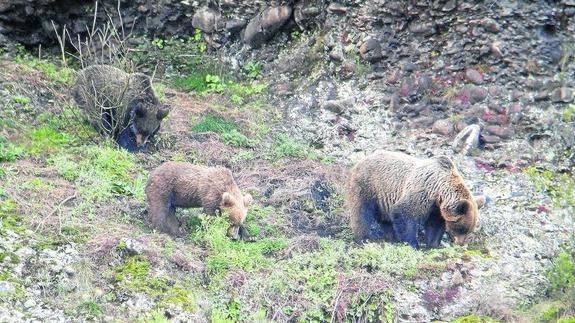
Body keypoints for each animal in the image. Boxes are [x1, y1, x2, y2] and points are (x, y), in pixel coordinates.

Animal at [346, 151, 482, 249]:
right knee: (362, 213)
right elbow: (404, 213)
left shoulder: (435, 209)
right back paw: (363, 238)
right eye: (462, 229)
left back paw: (391, 237)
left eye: (469, 230)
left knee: (385, 220)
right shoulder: (423, 191)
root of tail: (361, 161)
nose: (460, 244)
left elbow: (434, 225)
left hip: (382, 200)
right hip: (368, 186)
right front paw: (413, 244)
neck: (440, 193)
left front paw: (433, 244)